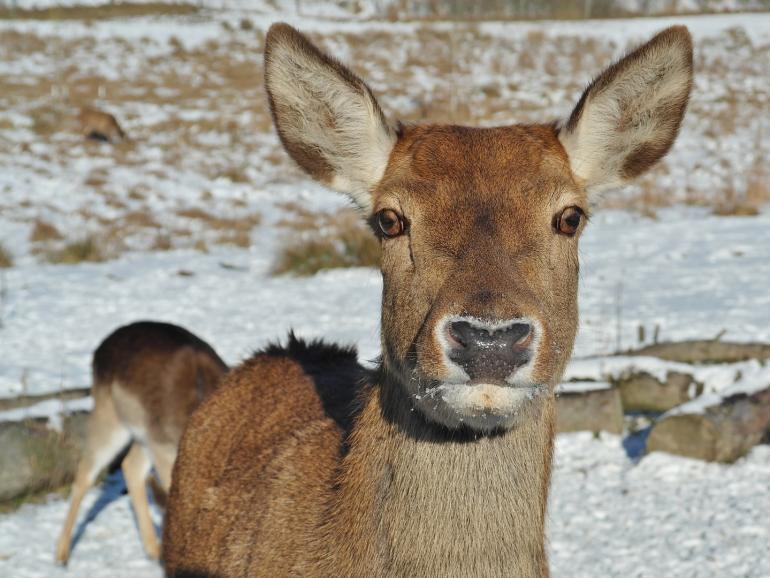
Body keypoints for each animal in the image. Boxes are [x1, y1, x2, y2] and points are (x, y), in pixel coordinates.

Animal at [54, 322, 225, 564]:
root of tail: (101, 348)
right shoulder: (164, 451)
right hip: (111, 418)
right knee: (85, 474)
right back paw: (61, 556)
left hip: (143, 434)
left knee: (130, 466)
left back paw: (152, 549)